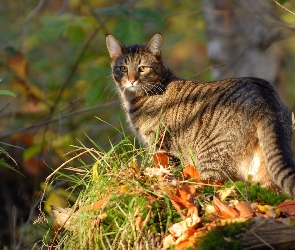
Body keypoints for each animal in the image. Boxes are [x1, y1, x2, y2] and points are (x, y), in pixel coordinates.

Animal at [107, 32, 295, 195]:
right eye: (123, 68)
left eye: (143, 68)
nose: (131, 80)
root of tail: (264, 95)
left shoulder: (161, 146)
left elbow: (166, 170)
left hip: (211, 157)